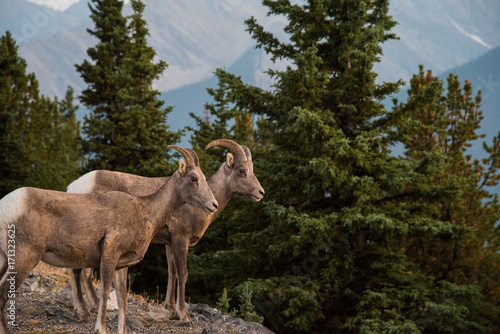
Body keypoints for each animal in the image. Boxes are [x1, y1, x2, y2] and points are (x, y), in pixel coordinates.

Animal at [0, 146, 217, 334]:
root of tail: (6, 206)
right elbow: (105, 292)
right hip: (24, 259)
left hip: (5, 260)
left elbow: (122, 299)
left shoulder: (122, 265)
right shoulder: (110, 253)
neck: (145, 212)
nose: (213, 205)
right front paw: (101, 329)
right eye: (194, 178)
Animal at [66, 139, 266, 324]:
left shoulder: (170, 243)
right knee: (81, 272)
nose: (260, 193)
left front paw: (170, 310)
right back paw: (88, 309)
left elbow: (172, 272)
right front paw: (183, 316)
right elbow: (183, 273)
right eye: (241, 171)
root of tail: (73, 187)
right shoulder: (180, 239)